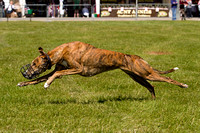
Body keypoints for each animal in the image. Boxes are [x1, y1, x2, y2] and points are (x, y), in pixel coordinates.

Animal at [18, 41, 188, 98]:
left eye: (34, 64)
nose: (25, 73)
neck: (63, 50)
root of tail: (138, 57)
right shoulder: (59, 70)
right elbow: (39, 79)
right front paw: (23, 83)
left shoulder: (78, 68)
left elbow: (56, 74)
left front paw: (47, 84)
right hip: (137, 76)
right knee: (151, 86)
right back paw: (152, 101)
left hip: (147, 73)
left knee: (167, 78)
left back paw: (184, 85)